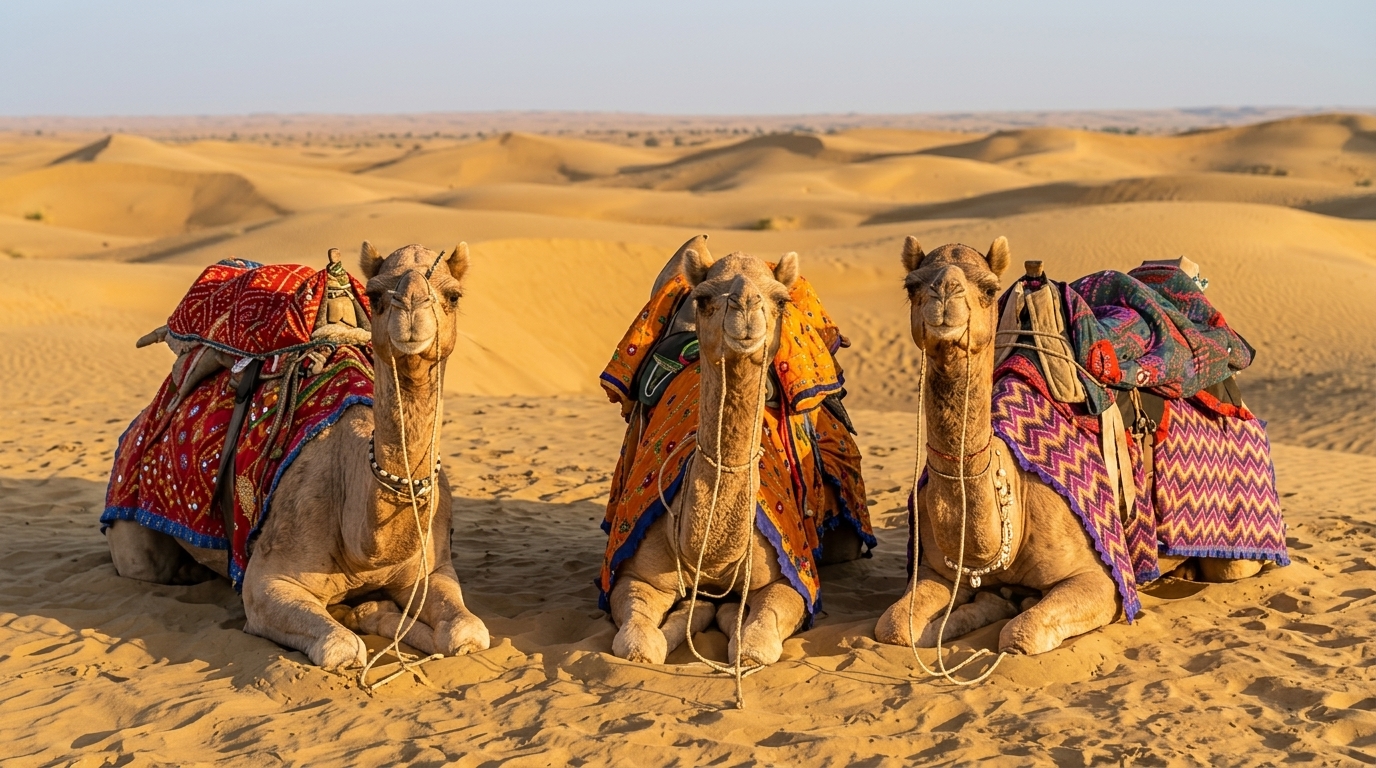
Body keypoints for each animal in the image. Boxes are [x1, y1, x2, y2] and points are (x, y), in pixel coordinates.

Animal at [107, 242, 490, 669]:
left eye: (453, 296)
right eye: (374, 295)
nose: (410, 307)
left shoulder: (432, 570)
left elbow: (468, 633)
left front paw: (374, 612)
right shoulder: (265, 582)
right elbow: (341, 648)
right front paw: (359, 617)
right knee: (145, 563)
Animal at [609, 247, 812, 667]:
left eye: (780, 300)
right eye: (703, 299)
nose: (745, 305)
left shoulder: (791, 579)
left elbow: (753, 646)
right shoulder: (635, 576)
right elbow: (640, 645)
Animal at [874, 236, 1262, 655]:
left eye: (989, 288)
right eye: (911, 285)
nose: (944, 292)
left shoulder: (1102, 579)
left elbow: (1020, 635)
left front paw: (1009, 606)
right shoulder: (936, 569)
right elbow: (893, 627)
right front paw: (991, 603)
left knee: (1233, 566)